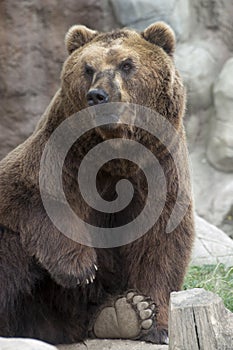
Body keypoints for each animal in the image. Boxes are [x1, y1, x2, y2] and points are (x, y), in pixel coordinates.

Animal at [0, 21, 194, 344]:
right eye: (88, 67)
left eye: (127, 64)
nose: (97, 95)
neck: (116, 151)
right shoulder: (60, 156)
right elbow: (27, 196)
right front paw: (80, 267)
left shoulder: (160, 169)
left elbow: (160, 244)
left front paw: (152, 319)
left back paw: (120, 313)